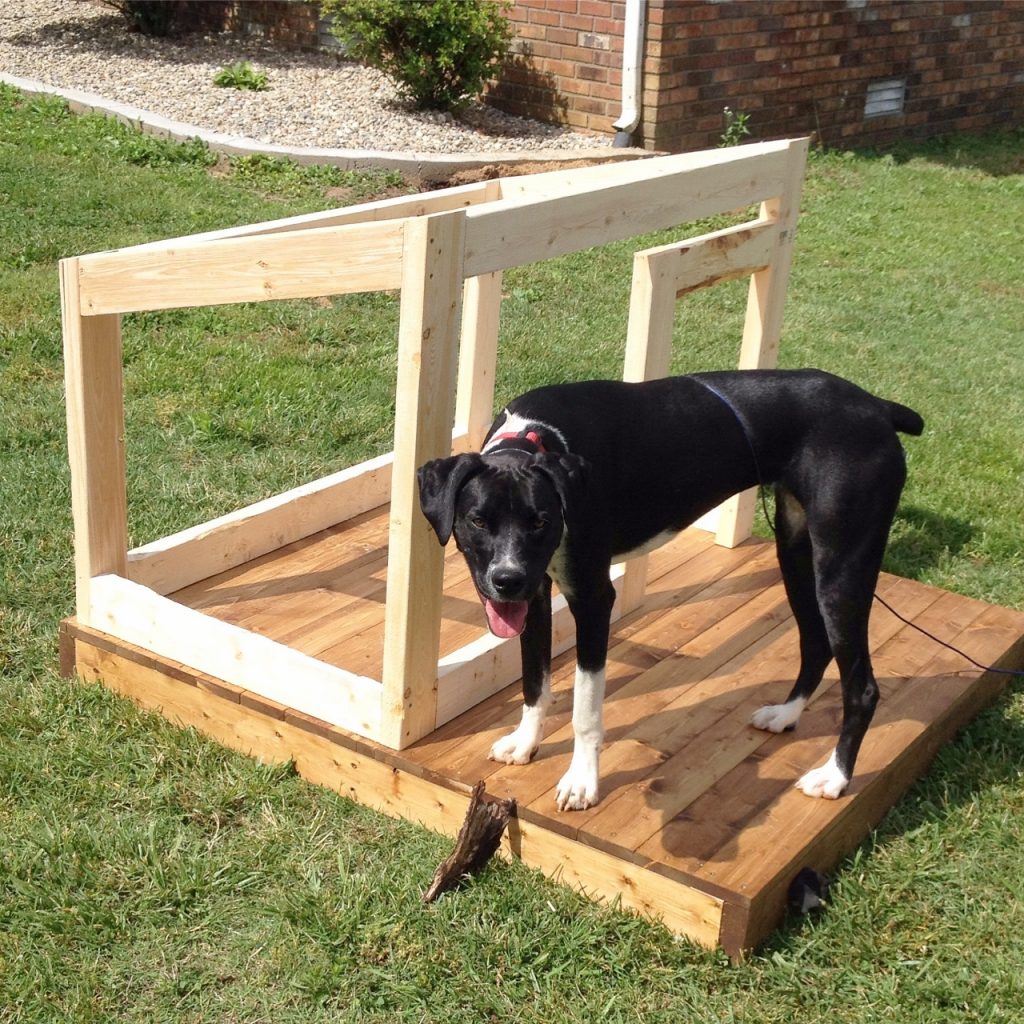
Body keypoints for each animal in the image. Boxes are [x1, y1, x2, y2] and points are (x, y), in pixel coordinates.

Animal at [419, 372, 925, 811]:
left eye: (541, 521)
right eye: (477, 520)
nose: (506, 581)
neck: (537, 440)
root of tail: (877, 407)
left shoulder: (593, 599)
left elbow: (586, 708)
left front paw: (582, 782)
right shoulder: (537, 594)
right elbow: (534, 681)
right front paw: (525, 744)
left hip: (841, 566)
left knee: (862, 686)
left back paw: (835, 777)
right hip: (796, 551)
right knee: (815, 643)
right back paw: (785, 715)